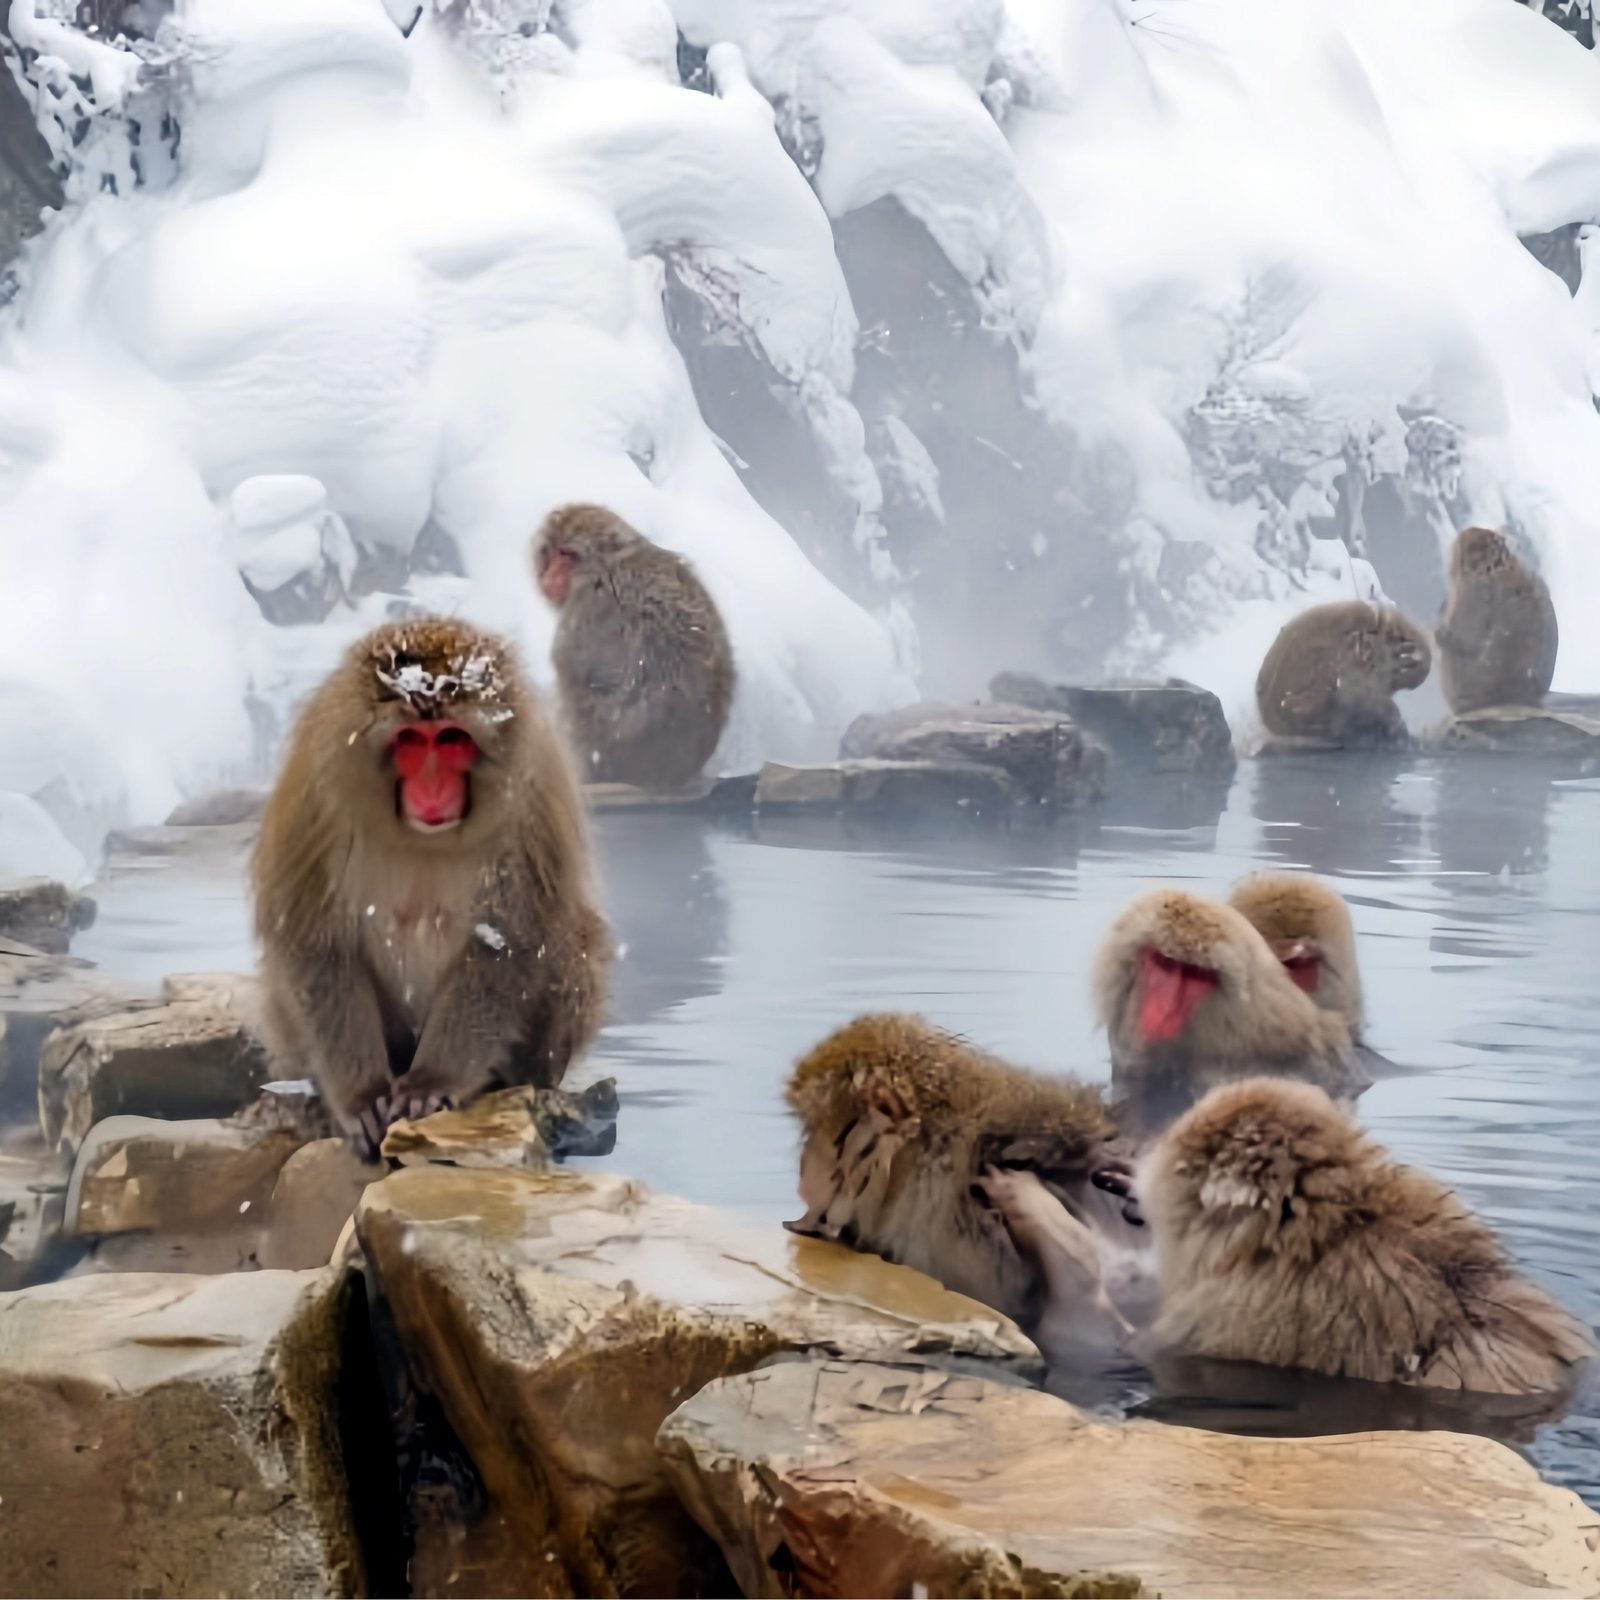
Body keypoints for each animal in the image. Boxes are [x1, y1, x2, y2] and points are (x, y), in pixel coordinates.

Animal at [251, 616, 611, 1160]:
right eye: (411, 741)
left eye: (451, 738)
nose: (433, 786)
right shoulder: (315, 795)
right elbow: (316, 942)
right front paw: (361, 1096)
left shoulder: (533, 798)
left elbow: (508, 942)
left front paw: (432, 1081)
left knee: (572, 939)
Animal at [1435, 526, 1559, 715]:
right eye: (1495, 538)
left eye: (1479, 545)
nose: (1467, 532)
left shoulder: (1473, 595)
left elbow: (1467, 637)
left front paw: (1441, 633)